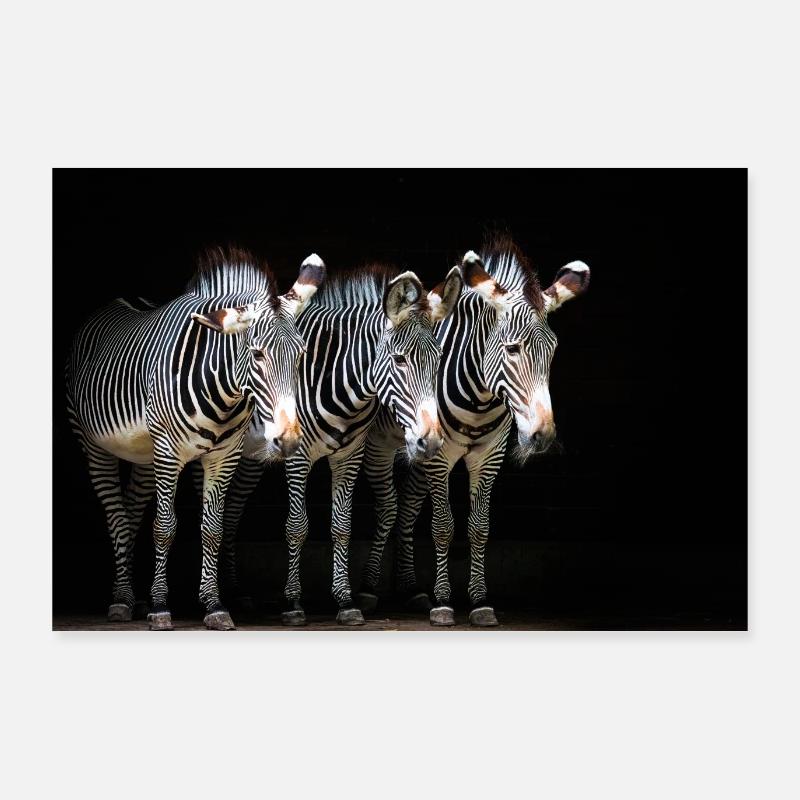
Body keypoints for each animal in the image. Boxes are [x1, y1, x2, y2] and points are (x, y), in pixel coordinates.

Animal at [66, 247, 324, 630]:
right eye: (257, 354)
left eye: (302, 355)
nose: (289, 440)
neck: (224, 393)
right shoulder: (169, 453)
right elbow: (164, 527)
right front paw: (160, 607)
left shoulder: (223, 456)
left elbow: (212, 528)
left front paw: (214, 604)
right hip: (96, 446)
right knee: (116, 518)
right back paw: (123, 600)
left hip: (144, 455)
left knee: (130, 512)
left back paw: (132, 596)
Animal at [215, 263, 464, 625]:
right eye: (400, 360)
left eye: (439, 358)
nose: (429, 441)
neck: (336, 380)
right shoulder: (298, 455)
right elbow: (297, 525)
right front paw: (293, 603)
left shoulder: (350, 455)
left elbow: (342, 526)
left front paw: (345, 601)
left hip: (251, 456)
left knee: (232, 509)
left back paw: (235, 593)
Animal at [355, 236, 590, 626]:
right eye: (512, 349)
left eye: (553, 351)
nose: (542, 436)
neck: (481, 398)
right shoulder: (440, 457)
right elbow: (443, 525)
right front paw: (444, 602)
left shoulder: (488, 456)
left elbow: (479, 527)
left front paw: (479, 601)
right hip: (381, 446)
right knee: (388, 508)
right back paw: (370, 589)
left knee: (407, 507)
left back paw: (410, 588)